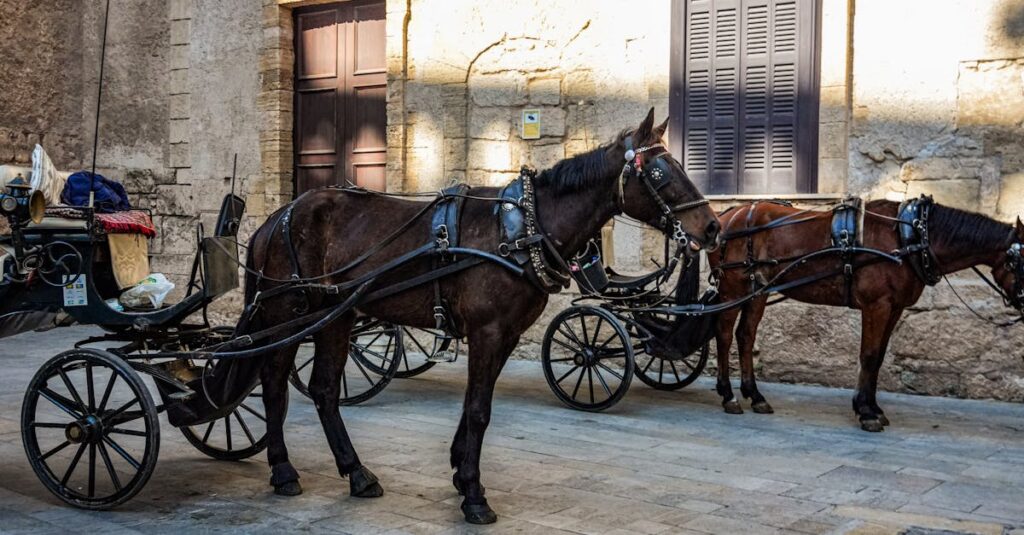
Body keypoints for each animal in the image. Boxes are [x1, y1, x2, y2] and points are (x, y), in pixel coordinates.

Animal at [241, 109, 721, 523]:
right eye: (660, 173)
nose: (713, 227)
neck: (525, 229)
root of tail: (276, 216)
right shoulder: (487, 331)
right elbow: (478, 410)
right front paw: (473, 493)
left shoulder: (506, 335)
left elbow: (476, 403)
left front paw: (459, 469)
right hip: (288, 312)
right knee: (273, 385)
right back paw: (283, 469)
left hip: (336, 317)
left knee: (323, 390)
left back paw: (356, 473)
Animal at [709, 199, 1024, 431]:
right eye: (1021, 261)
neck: (910, 236)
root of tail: (727, 217)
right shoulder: (877, 305)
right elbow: (869, 356)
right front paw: (866, 412)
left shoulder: (894, 307)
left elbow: (879, 357)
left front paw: (872, 407)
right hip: (733, 289)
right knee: (723, 334)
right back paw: (728, 395)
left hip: (757, 291)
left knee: (745, 335)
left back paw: (755, 395)